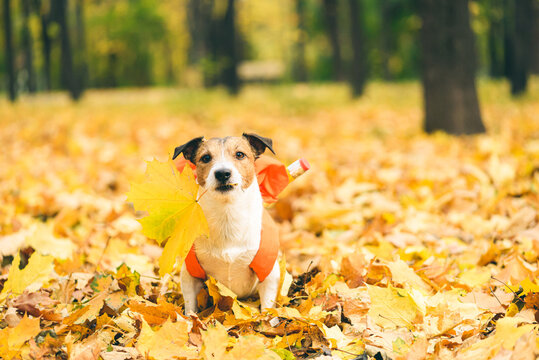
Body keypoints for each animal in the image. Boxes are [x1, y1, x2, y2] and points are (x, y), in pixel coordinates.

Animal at [174, 134, 282, 314]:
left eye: (240, 154)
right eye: (206, 158)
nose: (223, 173)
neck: (227, 215)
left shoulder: (268, 273)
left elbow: (267, 307)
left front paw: (267, 320)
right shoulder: (190, 274)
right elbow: (190, 305)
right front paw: (189, 319)